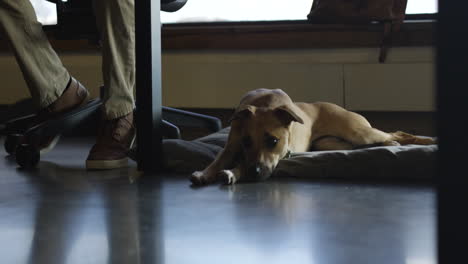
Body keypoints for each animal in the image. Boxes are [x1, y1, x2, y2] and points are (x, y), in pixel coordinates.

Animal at [190, 88, 436, 186]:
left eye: (273, 141)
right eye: (246, 142)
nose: (255, 172)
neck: (265, 104)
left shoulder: (281, 154)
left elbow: (243, 164)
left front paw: (234, 172)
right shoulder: (232, 144)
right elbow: (219, 159)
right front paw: (206, 173)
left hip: (359, 132)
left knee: (397, 133)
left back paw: (423, 140)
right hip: (329, 144)